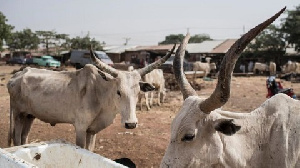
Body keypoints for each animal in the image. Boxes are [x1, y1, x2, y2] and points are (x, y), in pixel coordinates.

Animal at [8, 45, 176, 150]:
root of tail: (17, 76)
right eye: (118, 92)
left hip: (29, 115)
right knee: (16, 138)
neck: (100, 95)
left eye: (137, 92)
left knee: (24, 138)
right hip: (18, 114)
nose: (131, 124)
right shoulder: (81, 128)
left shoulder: (92, 131)